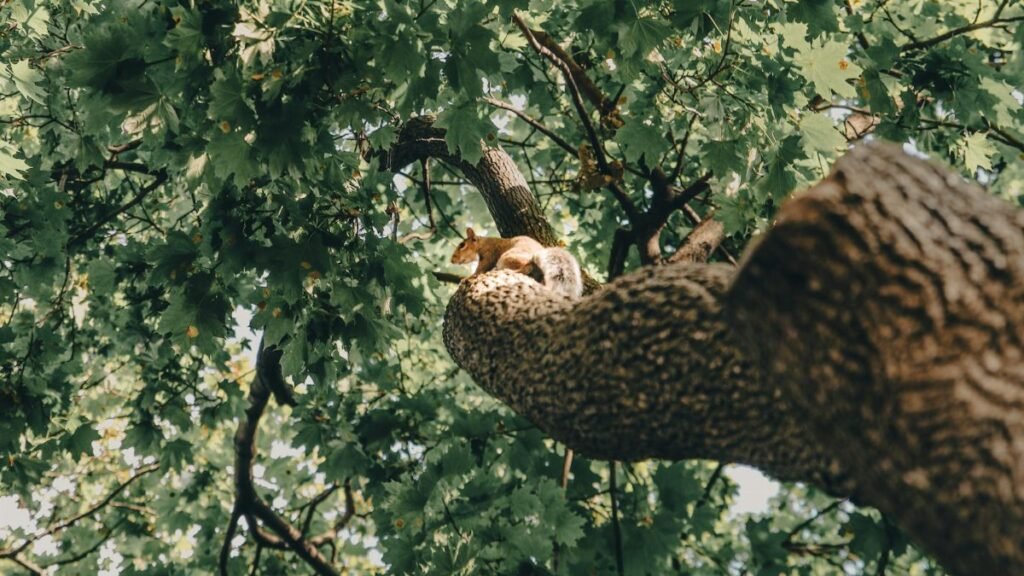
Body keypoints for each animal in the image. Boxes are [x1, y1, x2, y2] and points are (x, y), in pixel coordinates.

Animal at [450, 227, 583, 299]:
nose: (452, 259)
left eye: (462, 245)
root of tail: (537, 254)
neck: (483, 243)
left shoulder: (489, 254)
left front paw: (467, 277)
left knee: (526, 267)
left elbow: (481, 268)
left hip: (507, 257)